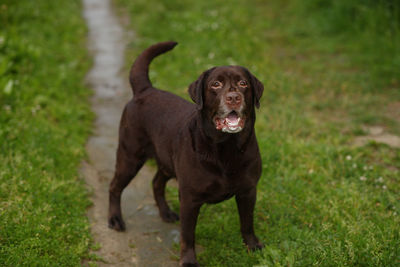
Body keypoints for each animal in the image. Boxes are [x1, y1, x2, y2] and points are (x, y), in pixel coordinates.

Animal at [109, 40, 264, 266]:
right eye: (215, 84)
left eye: (243, 83)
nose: (234, 97)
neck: (226, 148)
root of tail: (145, 89)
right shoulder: (190, 199)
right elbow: (188, 234)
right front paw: (189, 260)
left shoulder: (248, 191)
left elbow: (247, 223)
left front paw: (252, 246)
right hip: (130, 157)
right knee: (114, 186)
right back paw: (114, 219)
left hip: (165, 161)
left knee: (156, 182)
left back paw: (165, 212)